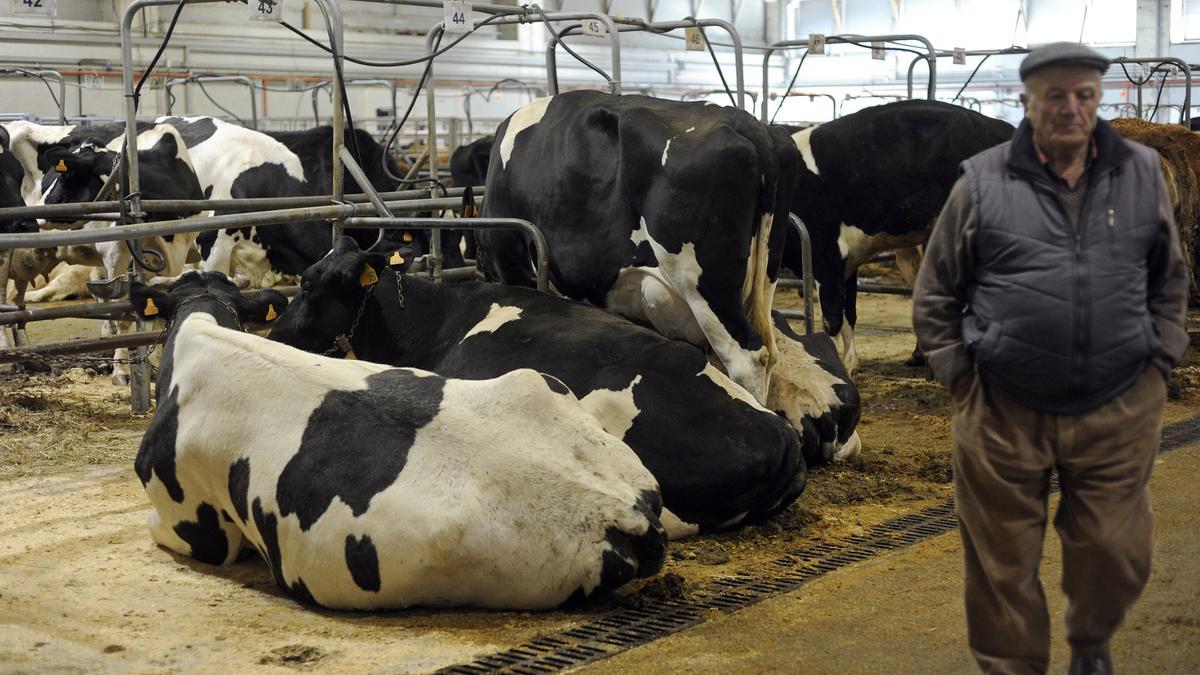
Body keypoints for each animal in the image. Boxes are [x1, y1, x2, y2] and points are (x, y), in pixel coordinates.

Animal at [475, 91, 796, 401]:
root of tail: (745, 122)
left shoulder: (512, 259)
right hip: (764, 278)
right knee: (767, 353)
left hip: (707, 287)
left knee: (746, 358)